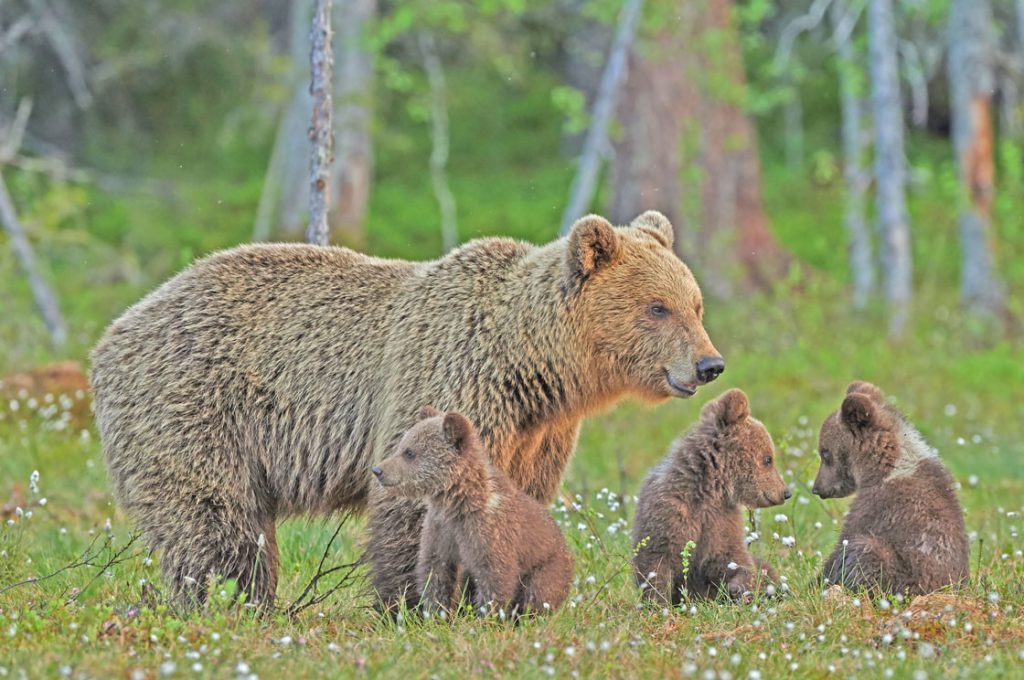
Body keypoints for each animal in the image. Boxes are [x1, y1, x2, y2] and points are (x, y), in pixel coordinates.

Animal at [373, 406, 573, 618]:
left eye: (409, 452)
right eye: (402, 446)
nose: (378, 470)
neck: (457, 501)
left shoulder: (489, 533)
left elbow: (494, 578)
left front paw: (486, 617)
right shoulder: (439, 530)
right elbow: (435, 573)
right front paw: (436, 614)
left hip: (548, 567)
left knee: (538, 594)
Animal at [631, 388, 790, 605]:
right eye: (768, 459)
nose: (786, 492)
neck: (709, 490)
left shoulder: (722, 521)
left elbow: (732, 559)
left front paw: (739, 588)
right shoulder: (669, 514)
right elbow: (656, 564)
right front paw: (657, 603)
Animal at [812, 381, 969, 595]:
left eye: (825, 453)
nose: (817, 488)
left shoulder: (879, 507)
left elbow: (845, 541)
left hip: (902, 578)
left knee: (863, 551)